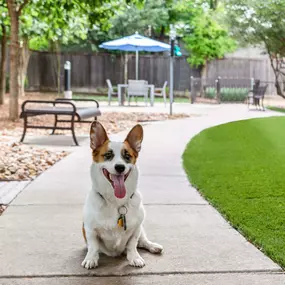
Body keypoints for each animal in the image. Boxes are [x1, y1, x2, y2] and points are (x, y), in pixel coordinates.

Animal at [81, 121, 163, 268]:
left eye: (127, 156)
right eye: (108, 155)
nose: (120, 167)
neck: (115, 202)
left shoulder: (136, 228)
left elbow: (132, 244)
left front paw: (134, 257)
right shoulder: (90, 230)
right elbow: (93, 246)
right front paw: (91, 258)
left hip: (142, 229)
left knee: (142, 241)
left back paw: (153, 246)